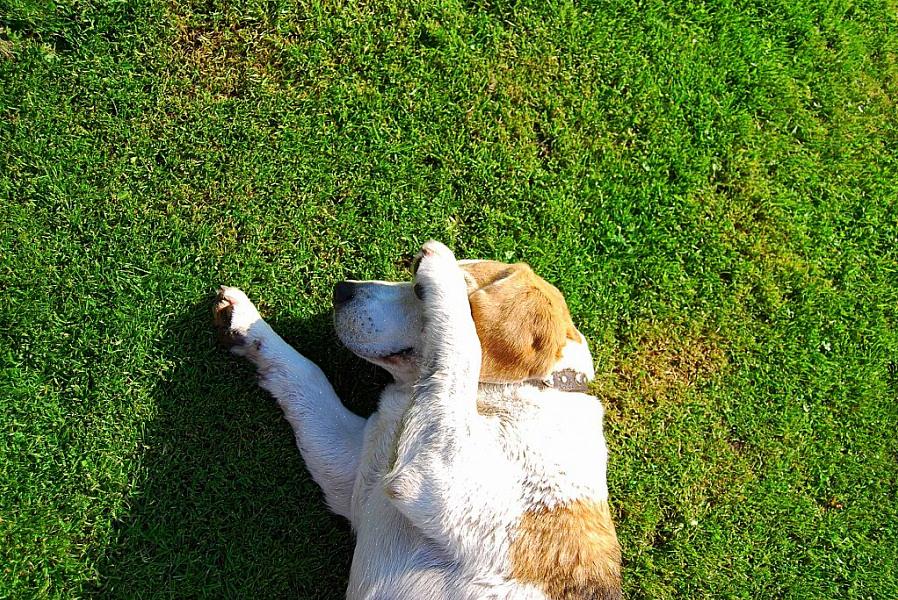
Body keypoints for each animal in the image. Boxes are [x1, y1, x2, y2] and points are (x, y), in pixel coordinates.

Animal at [214, 241, 620, 596]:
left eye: (419, 290)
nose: (341, 290)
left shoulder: (441, 480)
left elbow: (464, 347)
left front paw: (442, 269)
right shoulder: (355, 475)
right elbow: (307, 376)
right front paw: (248, 323)